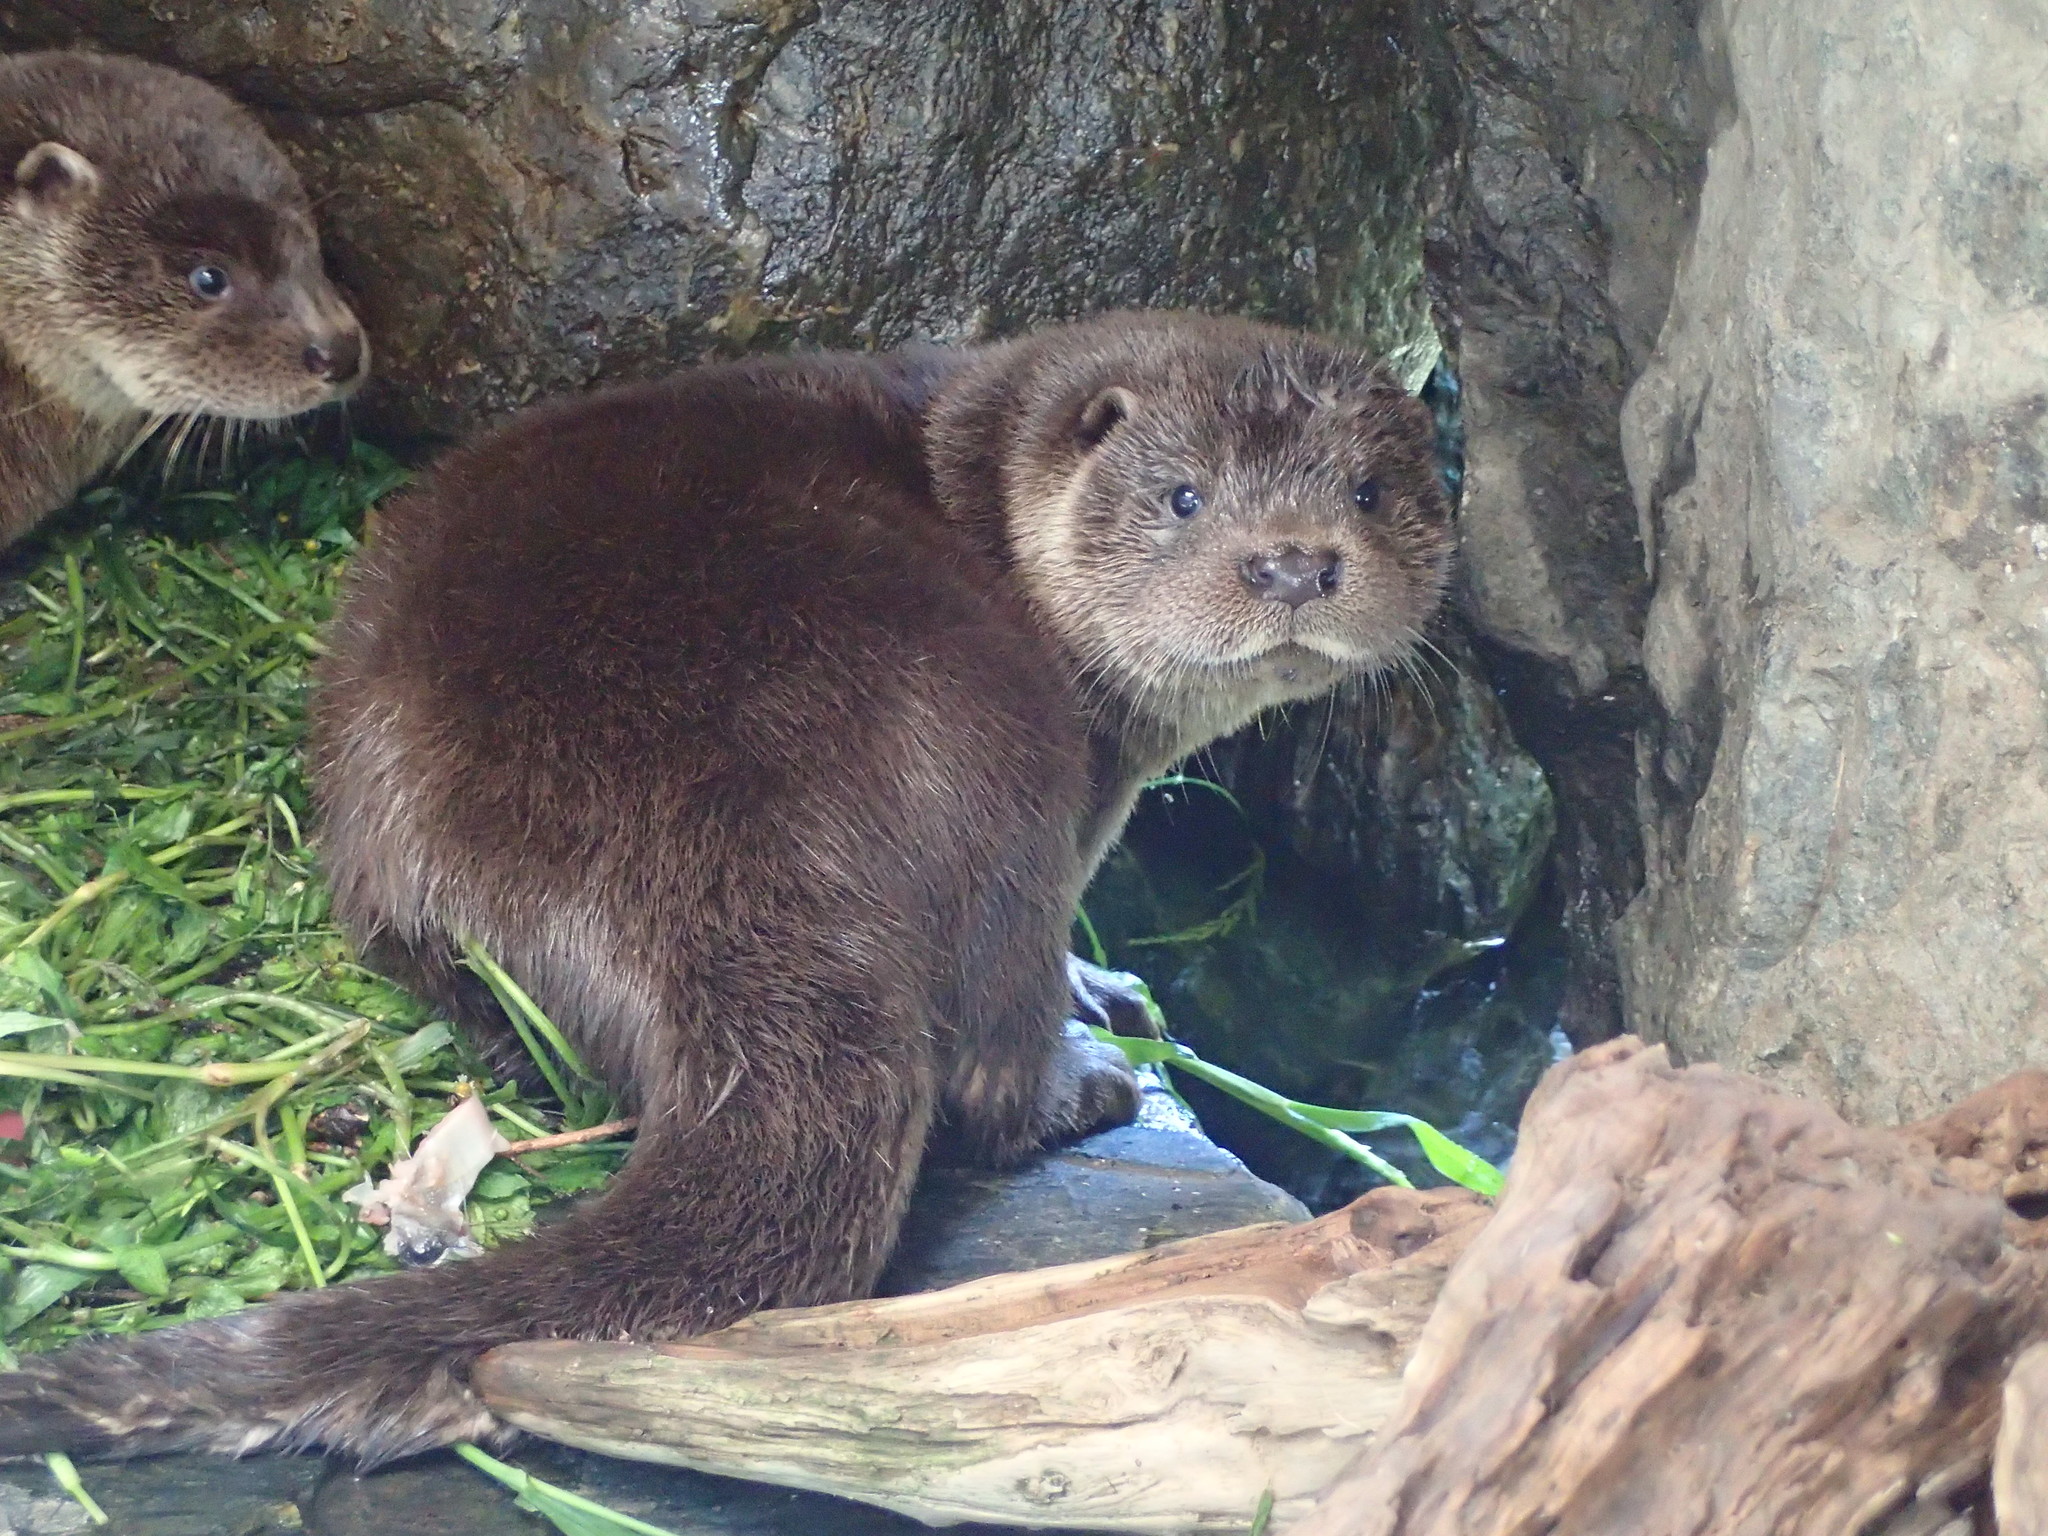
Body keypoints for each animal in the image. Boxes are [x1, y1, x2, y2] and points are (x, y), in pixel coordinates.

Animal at [0, 313, 1458, 1466]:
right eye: (1185, 498)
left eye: (1371, 491)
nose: (1292, 562)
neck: (975, 477)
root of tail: (700, 836)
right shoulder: (1087, 763)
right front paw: (1100, 996)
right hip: (997, 744)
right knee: (981, 1065)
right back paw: (1081, 1083)